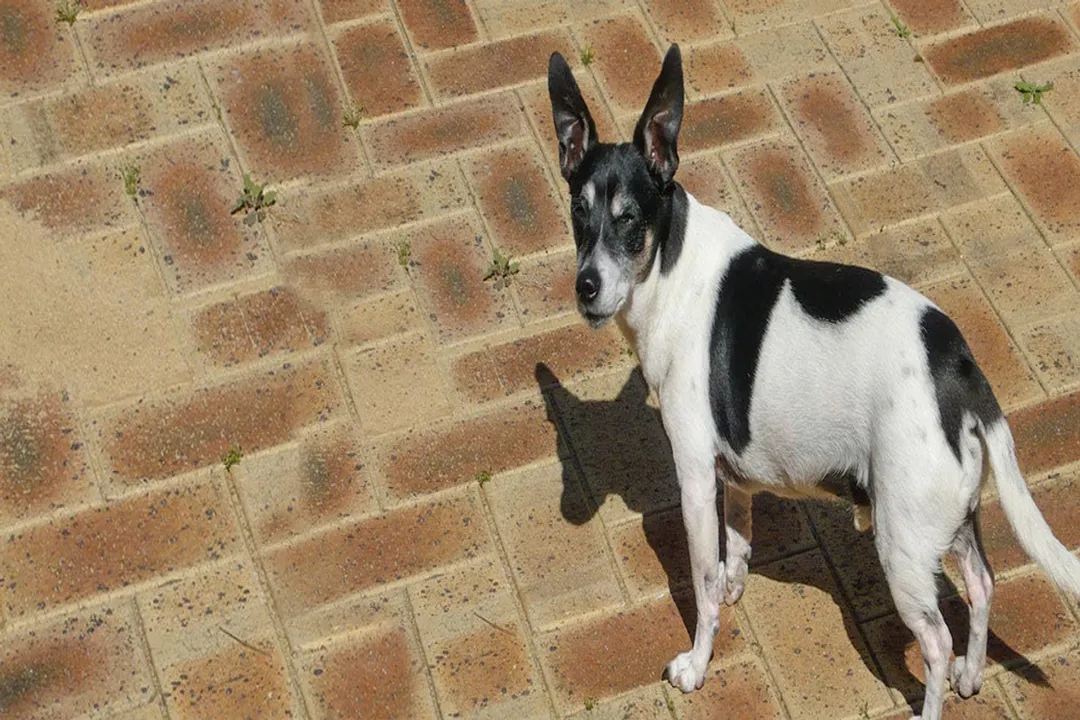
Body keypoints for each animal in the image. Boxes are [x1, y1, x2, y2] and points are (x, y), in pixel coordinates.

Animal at [547, 45, 1080, 720]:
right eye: (577, 214)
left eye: (630, 222)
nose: (585, 287)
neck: (669, 261)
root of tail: (959, 368)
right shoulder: (732, 475)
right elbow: (735, 547)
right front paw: (735, 587)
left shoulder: (694, 476)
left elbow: (701, 581)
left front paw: (698, 663)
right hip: (949, 519)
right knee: (983, 585)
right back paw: (971, 674)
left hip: (902, 545)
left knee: (935, 639)